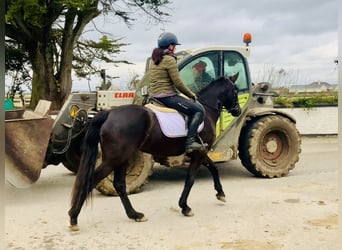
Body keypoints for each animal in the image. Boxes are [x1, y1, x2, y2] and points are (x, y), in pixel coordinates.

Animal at [69, 74, 240, 230]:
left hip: (122, 158)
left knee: (119, 185)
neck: (205, 111)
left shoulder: (200, 152)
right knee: (92, 180)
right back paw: (73, 217)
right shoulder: (199, 153)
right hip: (114, 159)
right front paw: (185, 207)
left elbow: (213, 168)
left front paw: (220, 194)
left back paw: (135, 215)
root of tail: (109, 113)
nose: (237, 111)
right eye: (236, 90)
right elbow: (191, 179)